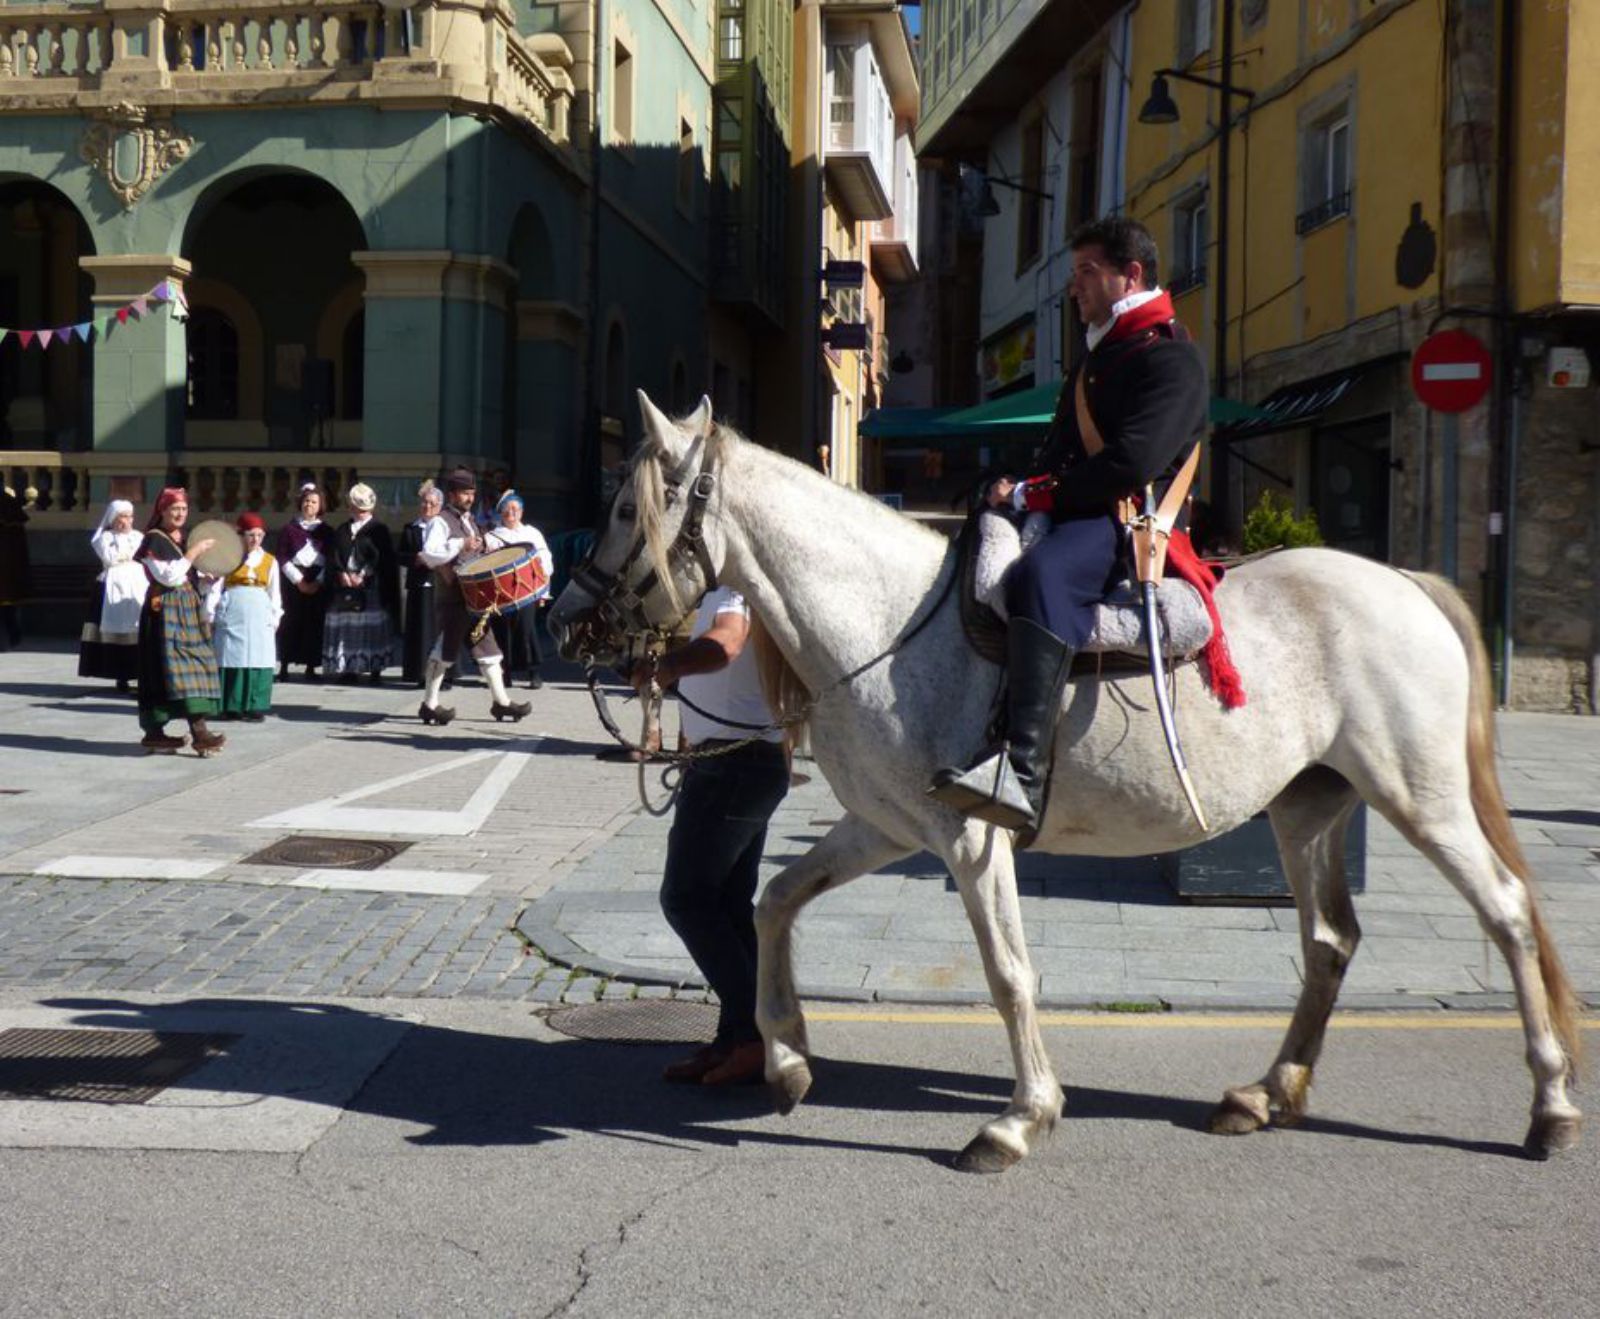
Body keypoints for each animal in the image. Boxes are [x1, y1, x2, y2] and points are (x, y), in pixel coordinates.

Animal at [556, 393, 1580, 1171]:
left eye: (624, 508)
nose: (569, 618)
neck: (890, 622)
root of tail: (1405, 581)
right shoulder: (887, 826)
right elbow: (773, 901)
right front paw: (787, 1058)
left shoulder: (971, 836)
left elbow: (1010, 972)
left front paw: (1019, 1117)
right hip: (1308, 806)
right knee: (1330, 939)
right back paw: (1266, 1092)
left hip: (1421, 795)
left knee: (1505, 909)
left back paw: (1551, 1106)